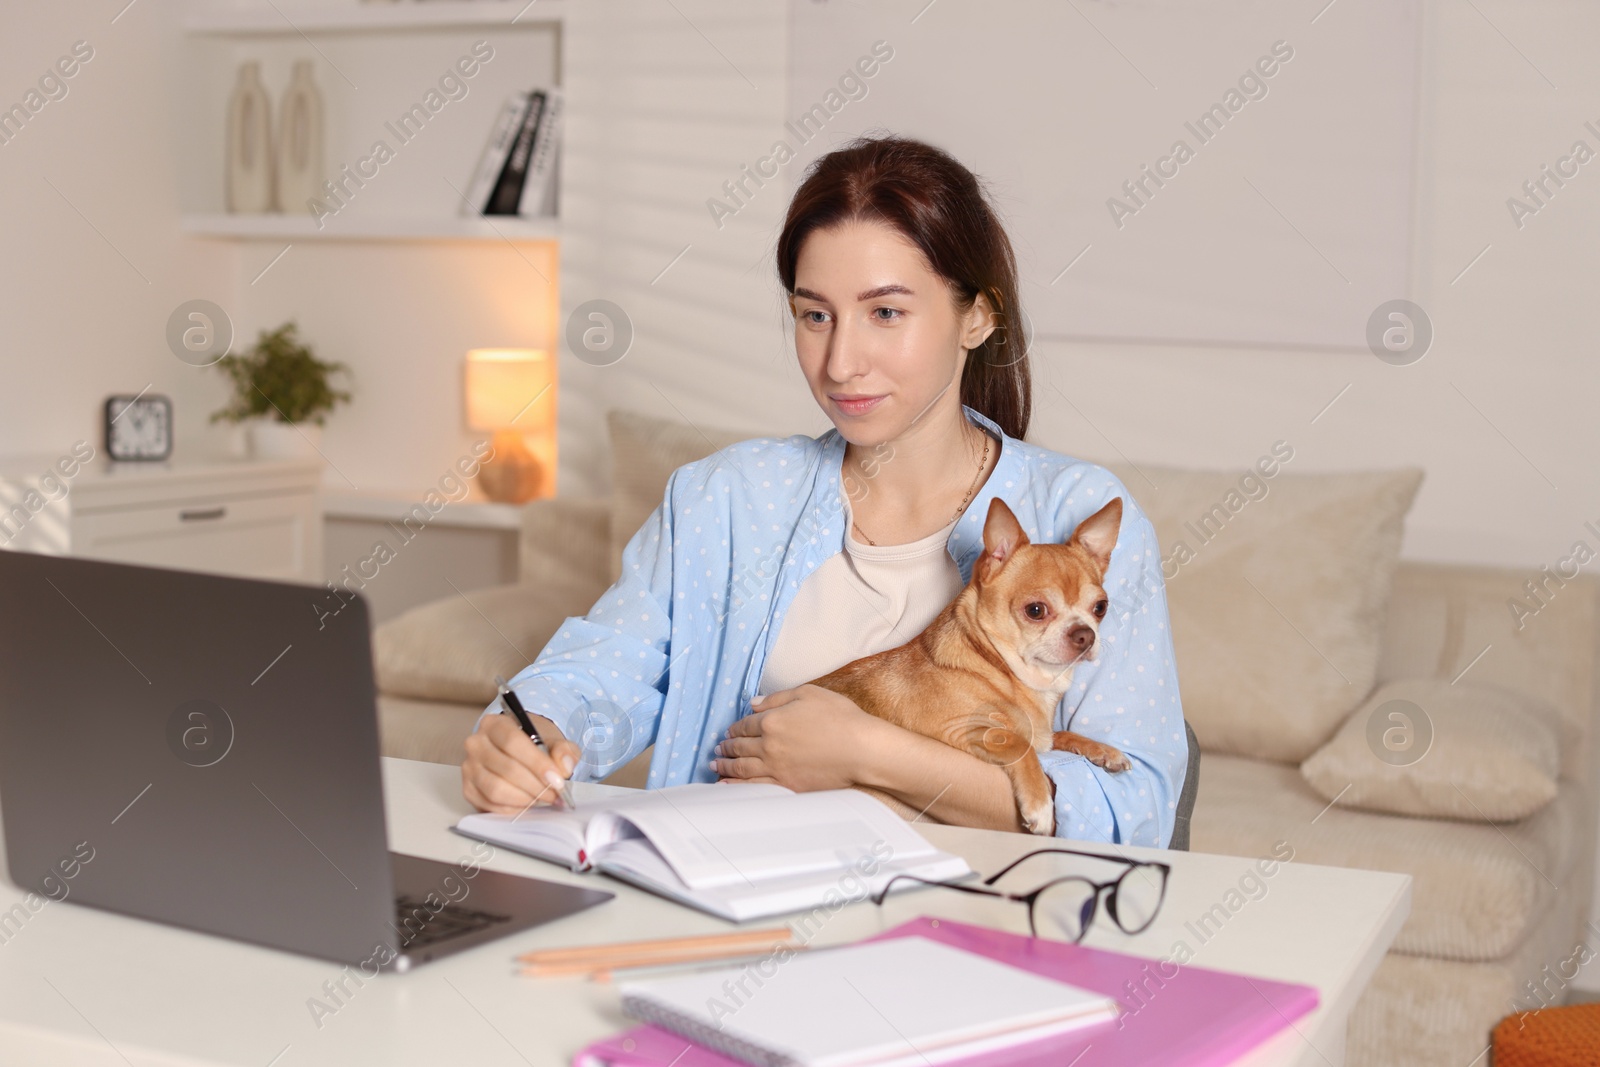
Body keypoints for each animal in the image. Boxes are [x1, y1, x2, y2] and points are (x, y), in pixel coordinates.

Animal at [806, 495, 1132, 838]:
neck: (1002, 670)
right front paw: (1041, 805)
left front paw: (1102, 750)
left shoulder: (1042, 735)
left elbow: (1060, 734)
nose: (1085, 634)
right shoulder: (963, 730)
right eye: (1035, 610)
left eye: (1100, 608)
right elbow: (1018, 742)